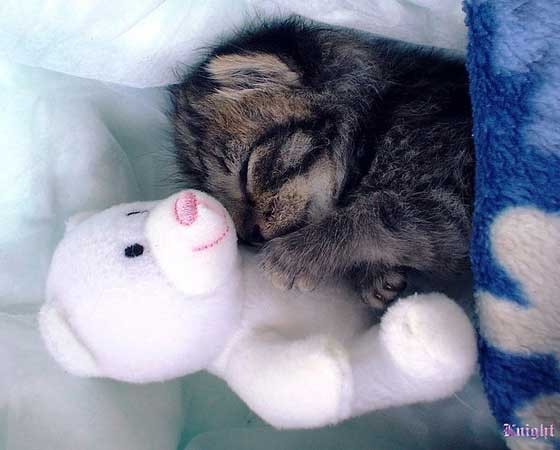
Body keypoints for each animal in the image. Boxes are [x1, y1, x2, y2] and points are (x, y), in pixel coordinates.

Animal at [170, 15, 472, 308]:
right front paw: (374, 276)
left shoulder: (452, 197)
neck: (376, 127)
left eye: (245, 173)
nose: (250, 236)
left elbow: (382, 214)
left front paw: (295, 254)